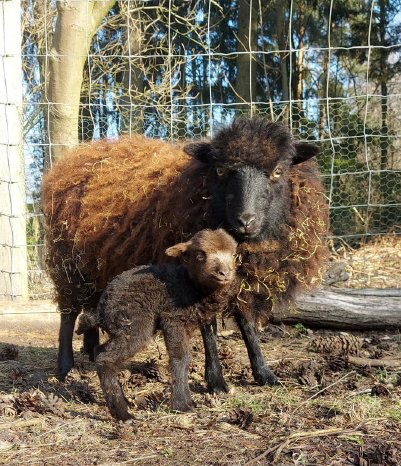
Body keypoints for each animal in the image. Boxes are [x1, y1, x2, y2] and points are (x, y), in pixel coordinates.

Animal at [41, 115, 328, 390]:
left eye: (278, 171)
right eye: (220, 170)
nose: (246, 220)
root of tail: (78, 155)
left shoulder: (243, 280)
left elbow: (247, 324)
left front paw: (264, 373)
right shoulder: (193, 277)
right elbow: (208, 329)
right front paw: (216, 381)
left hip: (97, 265)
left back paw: (91, 352)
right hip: (69, 264)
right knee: (68, 314)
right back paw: (64, 367)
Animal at [75, 230, 236, 422]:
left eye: (234, 255)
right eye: (200, 256)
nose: (224, 273)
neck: (190, 286)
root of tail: (101, 309)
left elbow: (185, 359)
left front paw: (188, 401)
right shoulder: (173, 319)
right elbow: (181, 358)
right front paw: (182, 405)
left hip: (121, 328)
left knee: (100, 350)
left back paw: (124, 401)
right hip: (134, 325)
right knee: (105, 358)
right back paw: (123, 414)